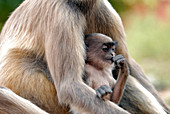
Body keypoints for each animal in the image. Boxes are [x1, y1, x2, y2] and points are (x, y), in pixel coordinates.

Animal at [0, 0, 169, 113]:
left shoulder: (101, 7)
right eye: (106, 48)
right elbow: (69, 86)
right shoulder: (61, 13)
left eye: (111, 48)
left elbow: (128, 65)